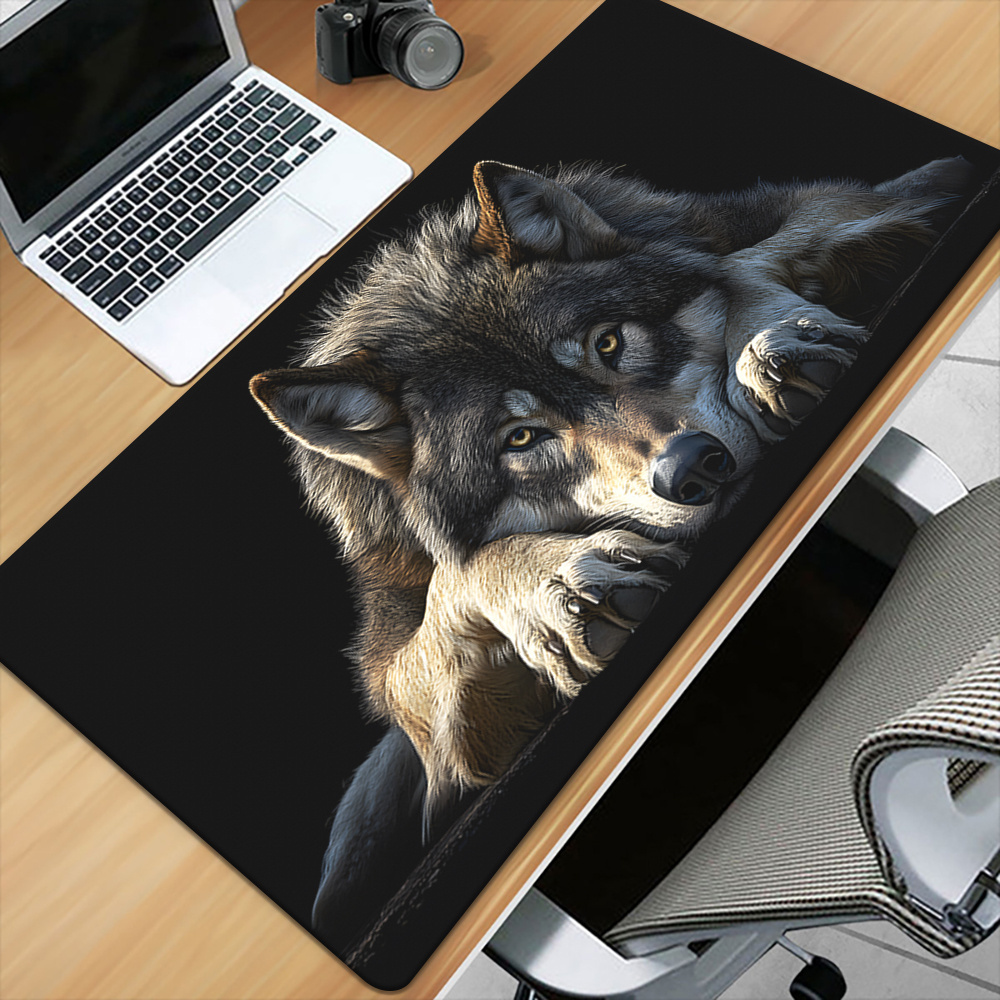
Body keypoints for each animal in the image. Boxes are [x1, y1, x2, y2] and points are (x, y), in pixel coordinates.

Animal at [249, 156, 969, 944]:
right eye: (521, 438)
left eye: (608, 344)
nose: (692, 468)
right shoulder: (436, 728)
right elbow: (458, 576)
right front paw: (559, 591)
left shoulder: (892, 191)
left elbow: (739, 264)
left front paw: (774, 340)